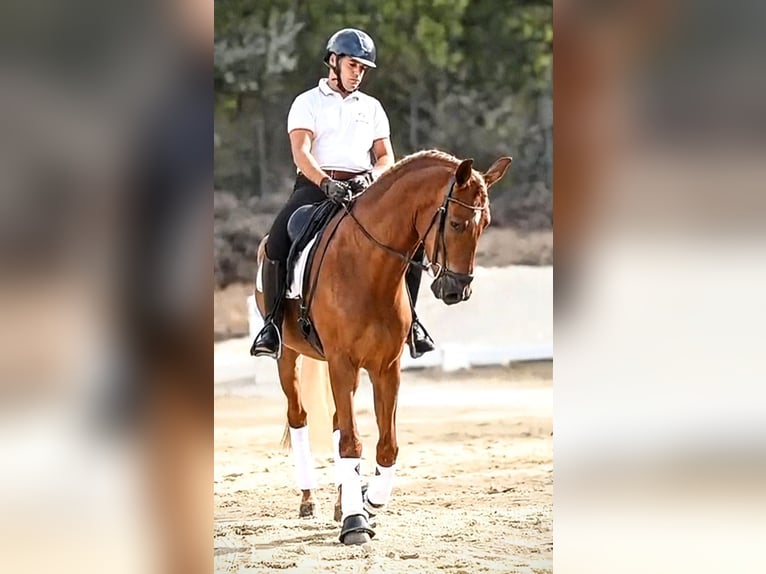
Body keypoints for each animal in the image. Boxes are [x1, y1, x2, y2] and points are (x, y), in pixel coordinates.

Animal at [254, 149, 512, 545]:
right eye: (455, 224)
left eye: (484, 225)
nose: (457, 290)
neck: (368, 267)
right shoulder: (342, 362)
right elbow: (351, 442)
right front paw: (354, 523)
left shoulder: (386, 367)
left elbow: (386, 446)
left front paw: (366, 502)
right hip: (290, 357)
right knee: (299, 417)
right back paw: (309, 500)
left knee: (335, 422)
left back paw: (340, 502)